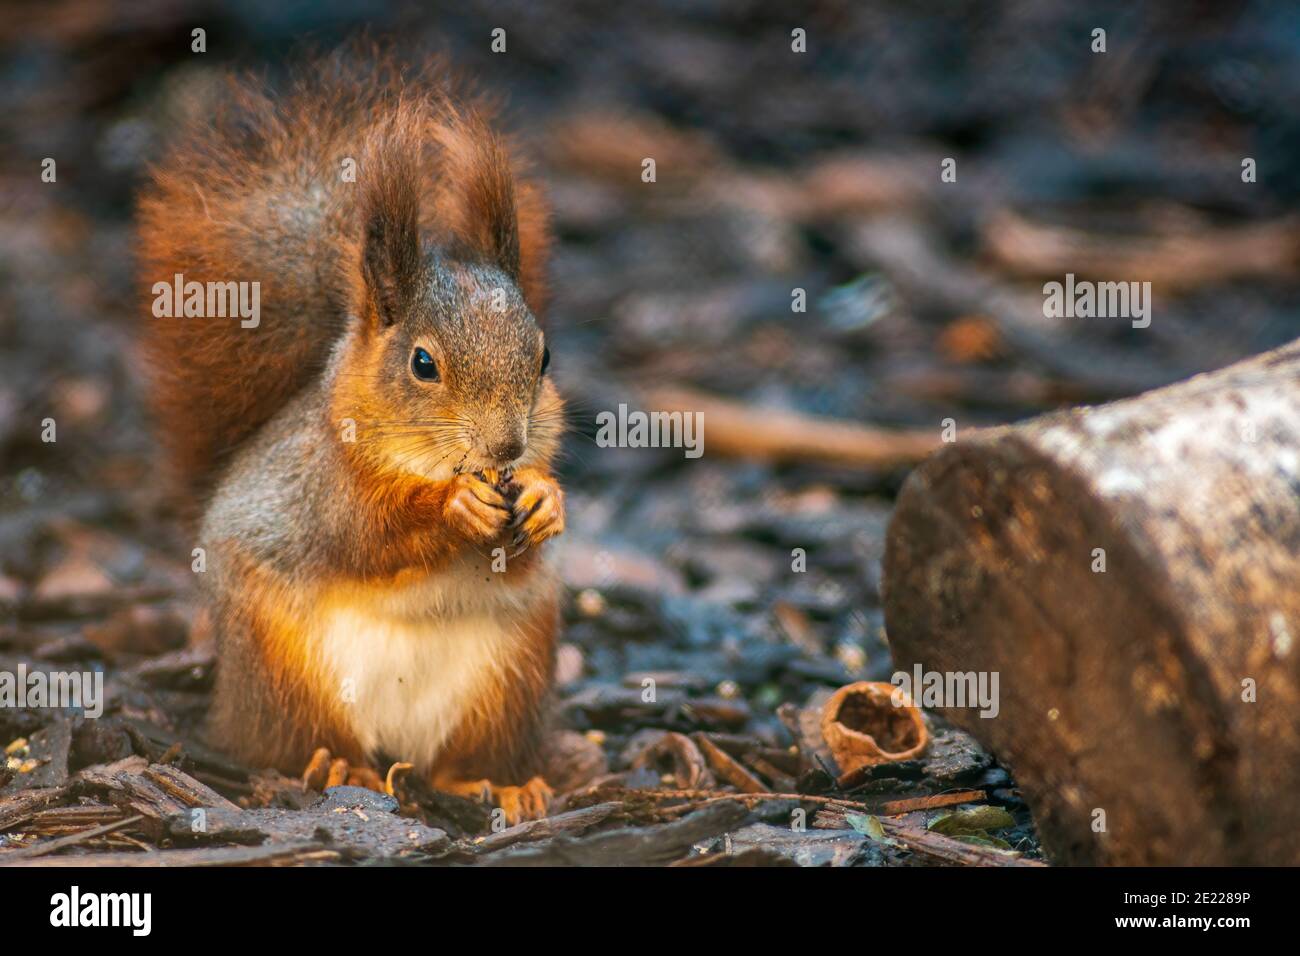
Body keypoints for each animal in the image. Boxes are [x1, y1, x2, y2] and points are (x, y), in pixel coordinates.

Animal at [137, 49, 565, 823]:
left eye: (544, 357)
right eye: (423, 363)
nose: (506, 449)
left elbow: (520, 557)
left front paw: (547, 499)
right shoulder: (322, 485)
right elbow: (366, 535)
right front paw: (453, 508)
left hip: (510, 678)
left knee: (463, 761)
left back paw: (502, 785)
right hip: (285, 671)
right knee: (294, 743)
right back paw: (339, 765)